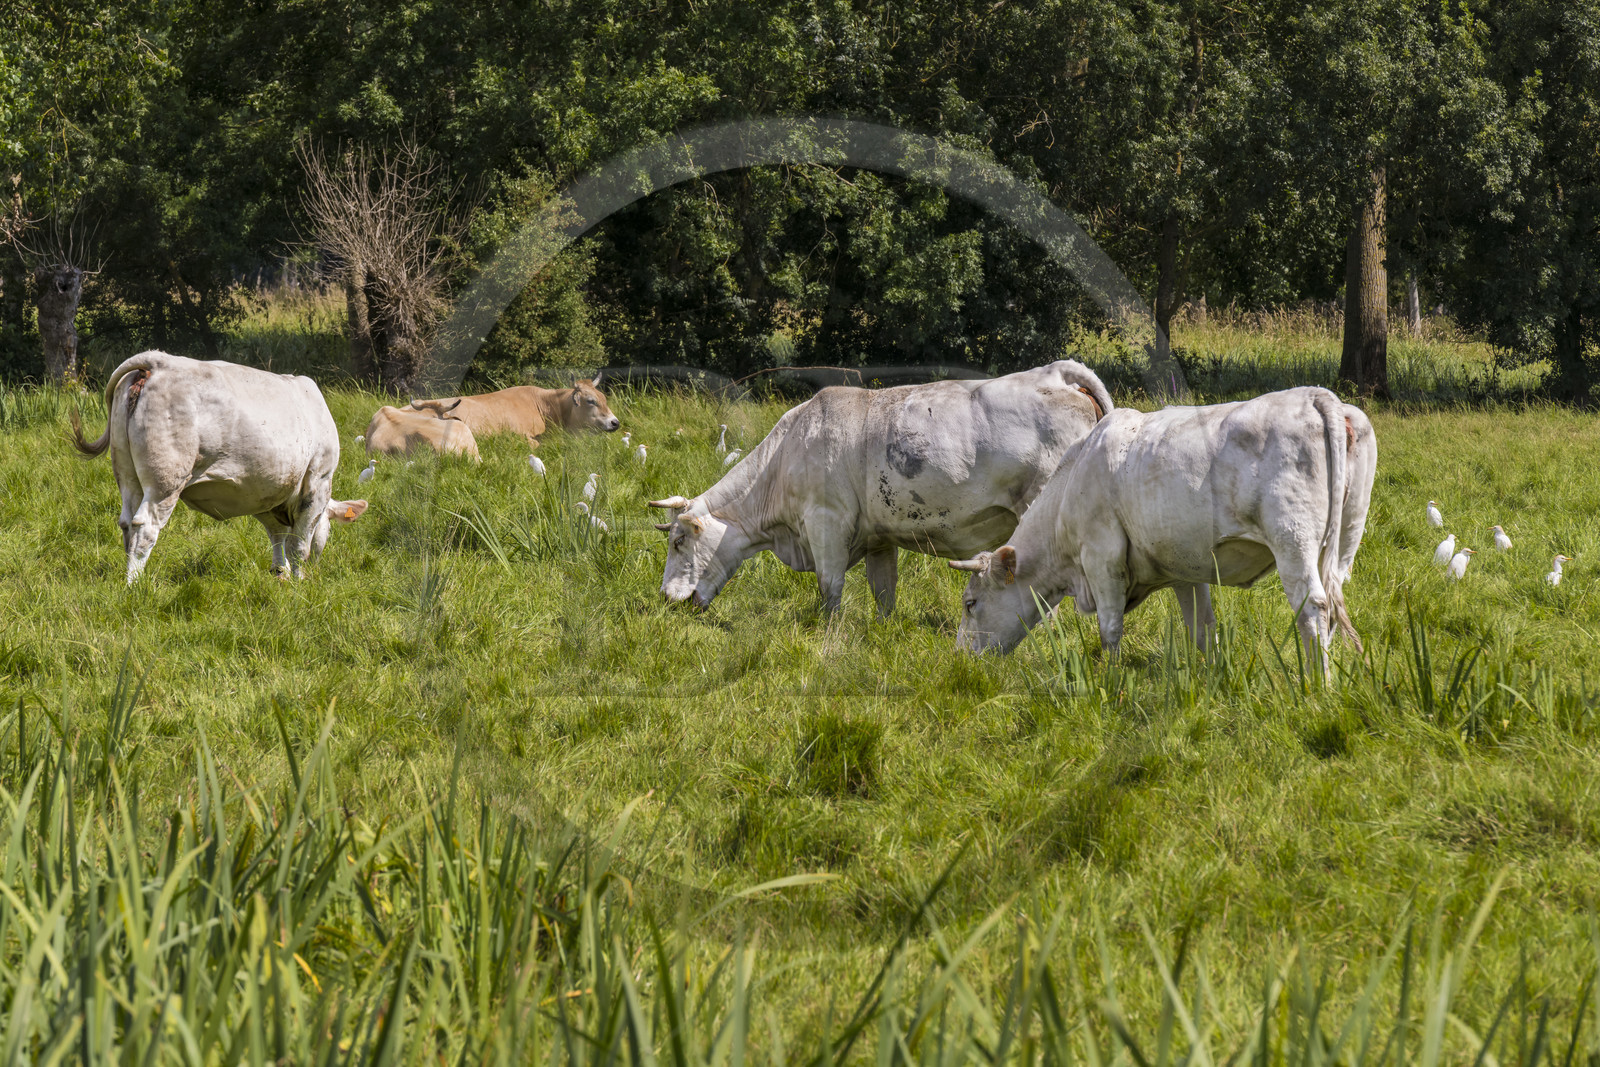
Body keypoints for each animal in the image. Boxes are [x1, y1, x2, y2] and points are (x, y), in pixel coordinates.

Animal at [70, 351, 368, 583]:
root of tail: (159, 361)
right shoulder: (317, 482)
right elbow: (299, 545)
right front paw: (298, 581)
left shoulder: (267, 495)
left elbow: (277, 535)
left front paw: (279, 573)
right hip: (165, 482)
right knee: (145, 528)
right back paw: (134, 585)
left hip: (127, 475)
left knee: (126, 525)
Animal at [648, 360, 1114, 616]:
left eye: (677, 542)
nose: (665, 598)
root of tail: (1053, 372)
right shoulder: (878, 538)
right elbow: (884, 593)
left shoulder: (826, 522)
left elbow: (830, 588)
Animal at [950, 386, 1377, 672]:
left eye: (970, 603)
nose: (960, 659)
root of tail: (1316, 396)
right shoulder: (1185, 569)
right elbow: (1203, 628)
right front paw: (1215, 679)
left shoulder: (1102, 557)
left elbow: (1109, 629)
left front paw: (1111, 679)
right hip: (1343, 543)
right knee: (1333, 606)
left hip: (1293, 540)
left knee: (1314, 608)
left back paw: (1317, 685)